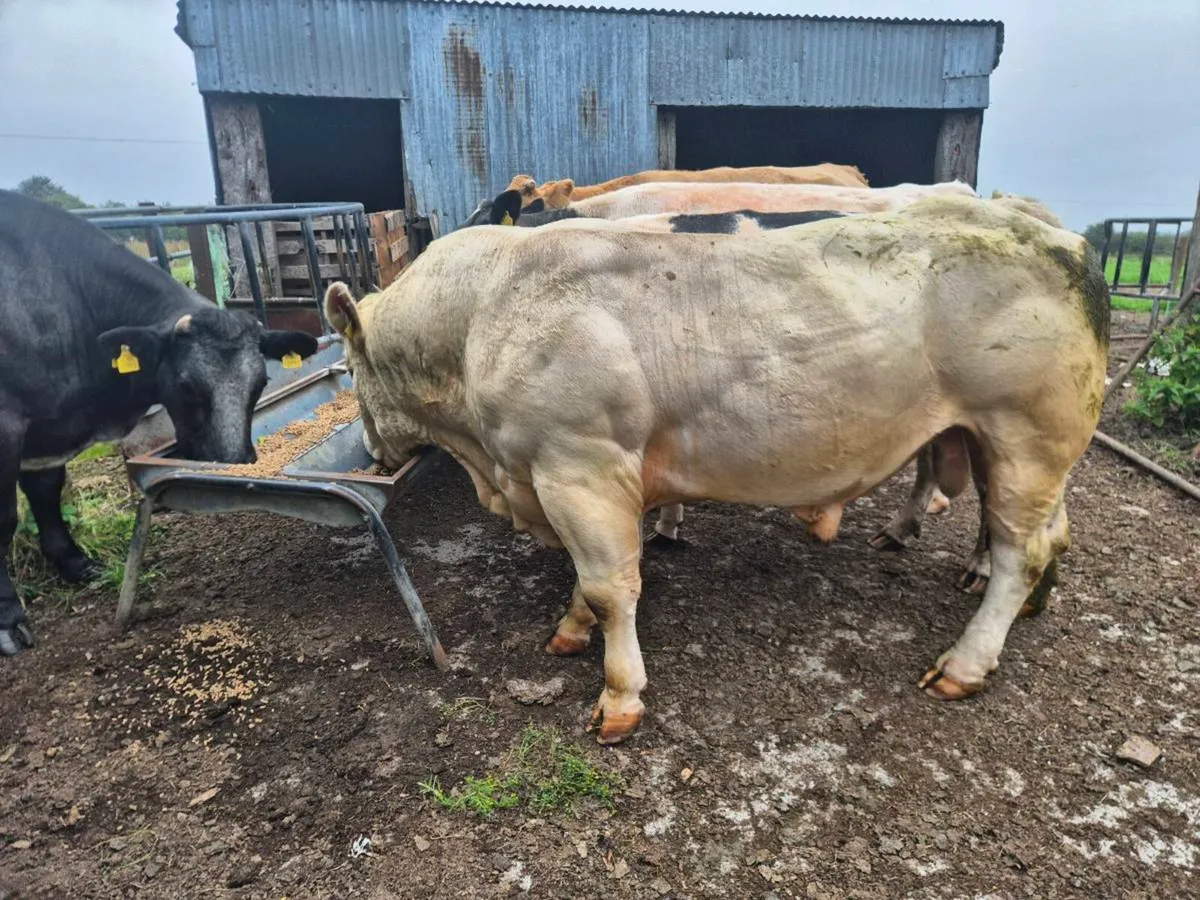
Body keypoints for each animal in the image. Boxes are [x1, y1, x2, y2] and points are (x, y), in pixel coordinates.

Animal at [0, 190, 320, 656]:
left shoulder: (49, 427)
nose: (235, 461)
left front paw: (75, 563)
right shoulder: (9, 424)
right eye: (186, 386)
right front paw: (8, 619)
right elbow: (5, 517)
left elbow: (45, 491)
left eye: (261, 381)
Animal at [325, 194, 1109, 744]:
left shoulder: (580, 465)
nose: (371, 451)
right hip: (1009, 448)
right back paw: (1031, 609)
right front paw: (570, 629)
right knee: (1050, 536)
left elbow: (611, 586)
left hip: (1025, 436)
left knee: (1019, 551)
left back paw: (967, 663)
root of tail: (1059, 237)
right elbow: (588, 580)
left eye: (348, 372)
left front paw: (618, 696)